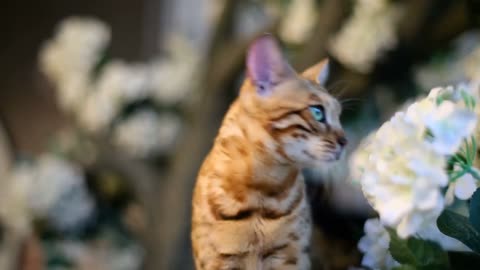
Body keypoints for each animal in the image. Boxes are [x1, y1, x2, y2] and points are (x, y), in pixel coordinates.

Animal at [192, 35, 348, 270]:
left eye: (339, 115)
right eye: (317, 112)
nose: (345, 141)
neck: (263, 189)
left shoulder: (291, 257)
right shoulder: (217, 260)